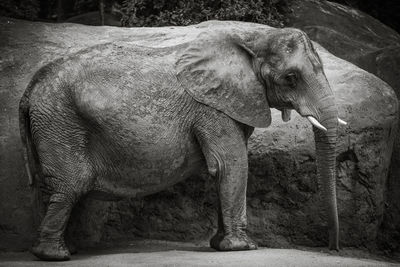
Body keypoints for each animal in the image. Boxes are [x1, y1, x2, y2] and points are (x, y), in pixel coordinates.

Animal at [18, 27, 346, 262]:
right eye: (291, 78)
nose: (333, 248)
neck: (252, 38)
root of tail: (30, 88)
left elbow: (225, 169)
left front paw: (220, 245)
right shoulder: (212, 109)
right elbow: (232, 164)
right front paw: (243, 248)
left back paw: (67, 250)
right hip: (59, 122)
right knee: (70, 185)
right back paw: (55, 255)